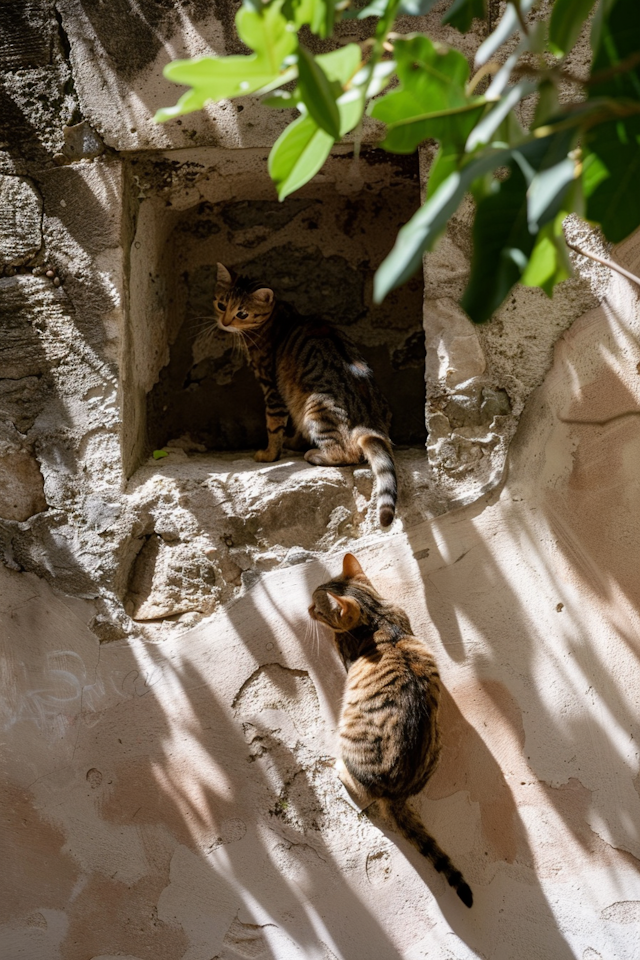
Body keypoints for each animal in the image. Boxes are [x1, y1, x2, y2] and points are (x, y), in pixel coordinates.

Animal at [212, 266, 398, 528]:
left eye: (242, 313)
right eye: (221, 305)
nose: (225, 322)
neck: (276, 317)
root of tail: (371, 424)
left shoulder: (272, 389)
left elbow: (273, 426)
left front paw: (269, 454)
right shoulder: (292, 399)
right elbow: (295, 427)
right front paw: (292, 441)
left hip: (316, 409)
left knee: (346, 454)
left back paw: (315, 454)